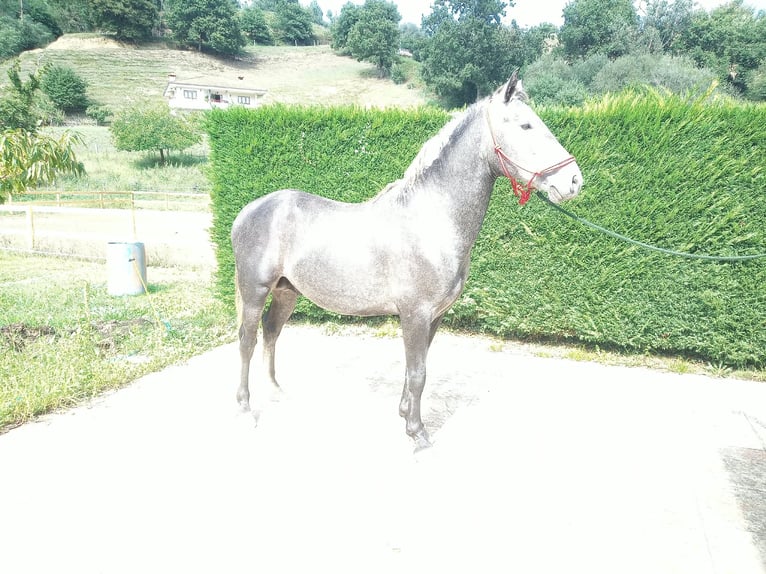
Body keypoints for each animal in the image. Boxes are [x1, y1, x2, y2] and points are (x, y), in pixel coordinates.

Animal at [231, 71, 583, 450]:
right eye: (526, 125)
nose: (574, 180)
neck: (432, 220)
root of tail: (248, 211)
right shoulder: (415, 313)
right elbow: (418, 373)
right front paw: (417, 433)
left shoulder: (434, 316)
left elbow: (417, 368)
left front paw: (403, 415)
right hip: (255, 291)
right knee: (247, 340)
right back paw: (245, 409)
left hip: (286, 291)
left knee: (271, 332)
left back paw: (276, 392)